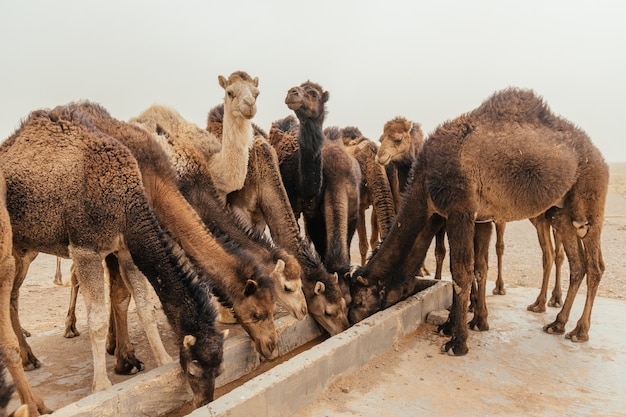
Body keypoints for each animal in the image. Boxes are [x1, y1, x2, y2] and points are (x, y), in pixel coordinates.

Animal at [348, 88, 608, 354]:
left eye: (358, 301)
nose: (351, 321)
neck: (424, 184)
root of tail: (599, 155)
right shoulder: (475, 218)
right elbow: (478, 268)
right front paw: (469, 323)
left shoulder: (459, 210)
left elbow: (460, 272)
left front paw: (458, 341)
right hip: (561, 211)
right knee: (577, 265)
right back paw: (558, 323)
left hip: (590, 198)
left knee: (595, 265)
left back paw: (579, 331)